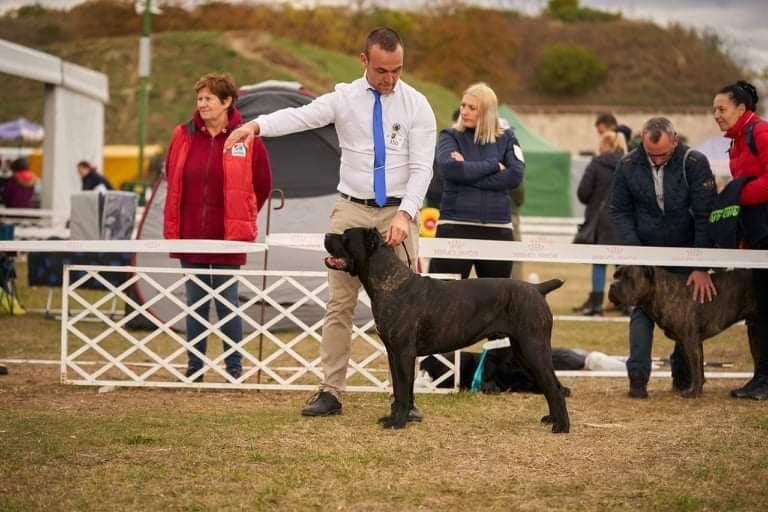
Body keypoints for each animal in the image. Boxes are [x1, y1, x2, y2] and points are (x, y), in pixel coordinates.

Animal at [320, 228, 568, 432]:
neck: (388, 281)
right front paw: (395, 418)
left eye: (346, 237)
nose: (327, 234)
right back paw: (551, 419)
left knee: (554, 388)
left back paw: (561, 427)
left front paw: (398, 423)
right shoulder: (393, 353)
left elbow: (403, 390)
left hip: (533, 348)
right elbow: (401, 390)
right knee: (552, 386)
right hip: (523, 352)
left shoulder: (403, 353)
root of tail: (537, 288)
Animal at [608, 266, 760, 398]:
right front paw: (698, 389)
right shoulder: (690, 342)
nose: (612, 285)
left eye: (628, 277)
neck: (661, 293)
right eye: (615, 276)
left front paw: (693, 393)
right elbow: (698, 368)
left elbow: (695, 369)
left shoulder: (690, 341)